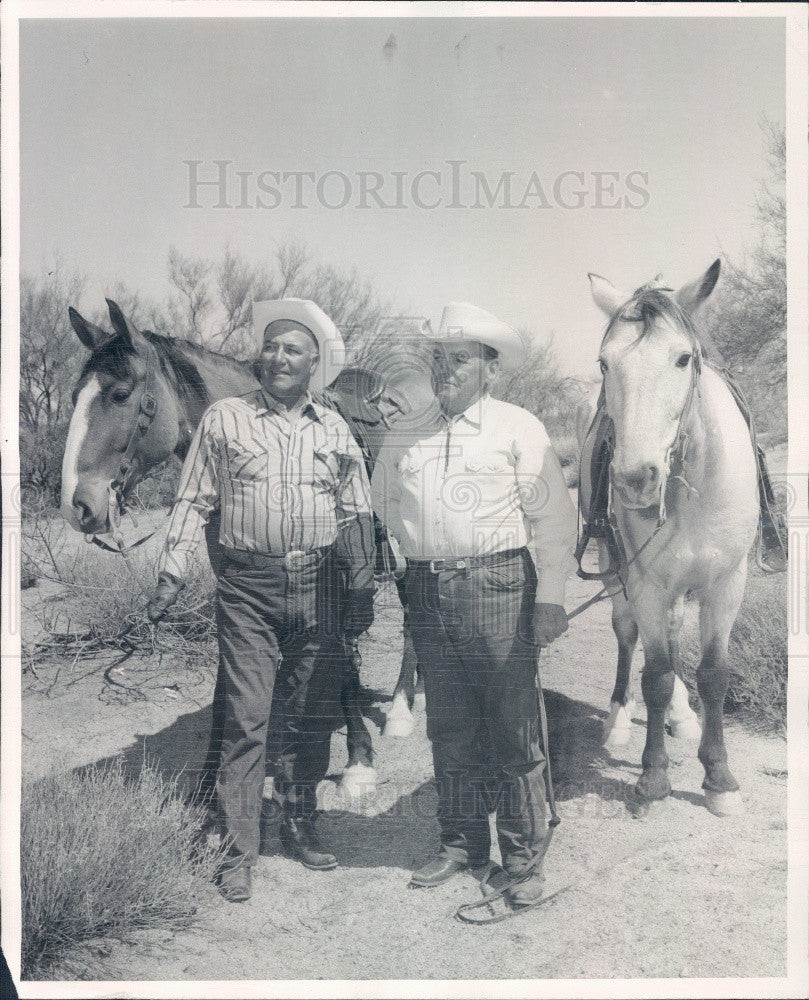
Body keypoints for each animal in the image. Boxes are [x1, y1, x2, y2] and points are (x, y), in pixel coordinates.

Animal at [576, 262, 756, 816]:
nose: (635, 479)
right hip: (614, 568)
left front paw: (719, 778)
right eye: (604, 363)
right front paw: (652, 777)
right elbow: (653, 675)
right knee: (628, 633)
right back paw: (617, 721)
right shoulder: (647, 582)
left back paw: (683, 716)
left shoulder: (726, 582)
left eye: (683, 359)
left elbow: (713, 673)